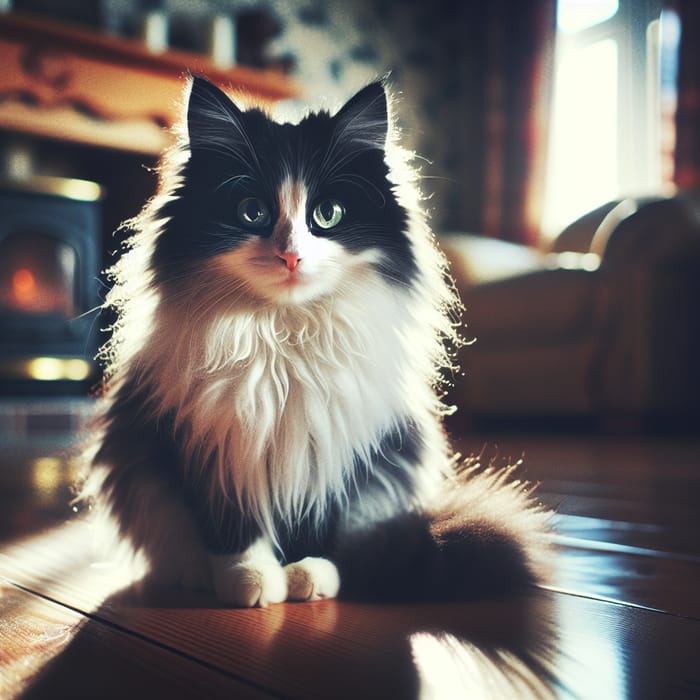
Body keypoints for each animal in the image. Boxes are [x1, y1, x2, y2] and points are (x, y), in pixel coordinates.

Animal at [80, 74, 552, 604]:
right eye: (252, 212)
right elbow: (233, 528)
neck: (286, 336)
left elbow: (320, 527)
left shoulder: (336, 450)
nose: (291, 256)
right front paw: (250, 580)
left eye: (327, 214)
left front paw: (308, 575)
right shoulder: (217, 445)